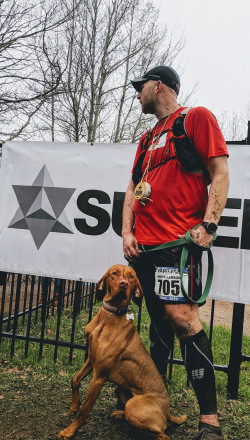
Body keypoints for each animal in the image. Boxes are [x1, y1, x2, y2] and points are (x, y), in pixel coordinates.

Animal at [56, 264, 186, 440]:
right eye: (114, 273)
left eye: (131, 277)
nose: (124, 284)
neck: (109, 317)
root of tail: (167, 411)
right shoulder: (91, 359)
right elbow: (74, 380)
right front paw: (74, 405)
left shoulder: (99, 375)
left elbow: (84, 411)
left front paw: (70, 430)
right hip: (121, 388)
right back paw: (120, 414)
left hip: (133, 405)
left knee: (163, 435)